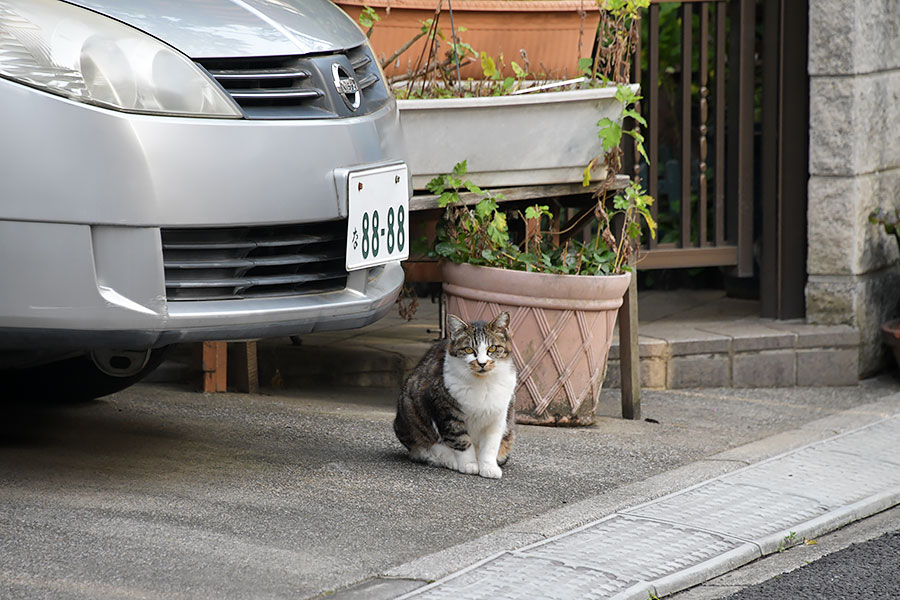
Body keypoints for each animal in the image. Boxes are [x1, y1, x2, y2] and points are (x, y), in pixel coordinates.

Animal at [392, 314, 512, 478]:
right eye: (468, 349)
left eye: (492, 348)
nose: (482, 363)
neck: (482, 382)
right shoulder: (447, 412)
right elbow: (461, 439)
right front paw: (469, 464)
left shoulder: (497, 417)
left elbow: (491, 445)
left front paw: (489, 467)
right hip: (409, 409)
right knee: (425, 448)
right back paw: (448, 459)